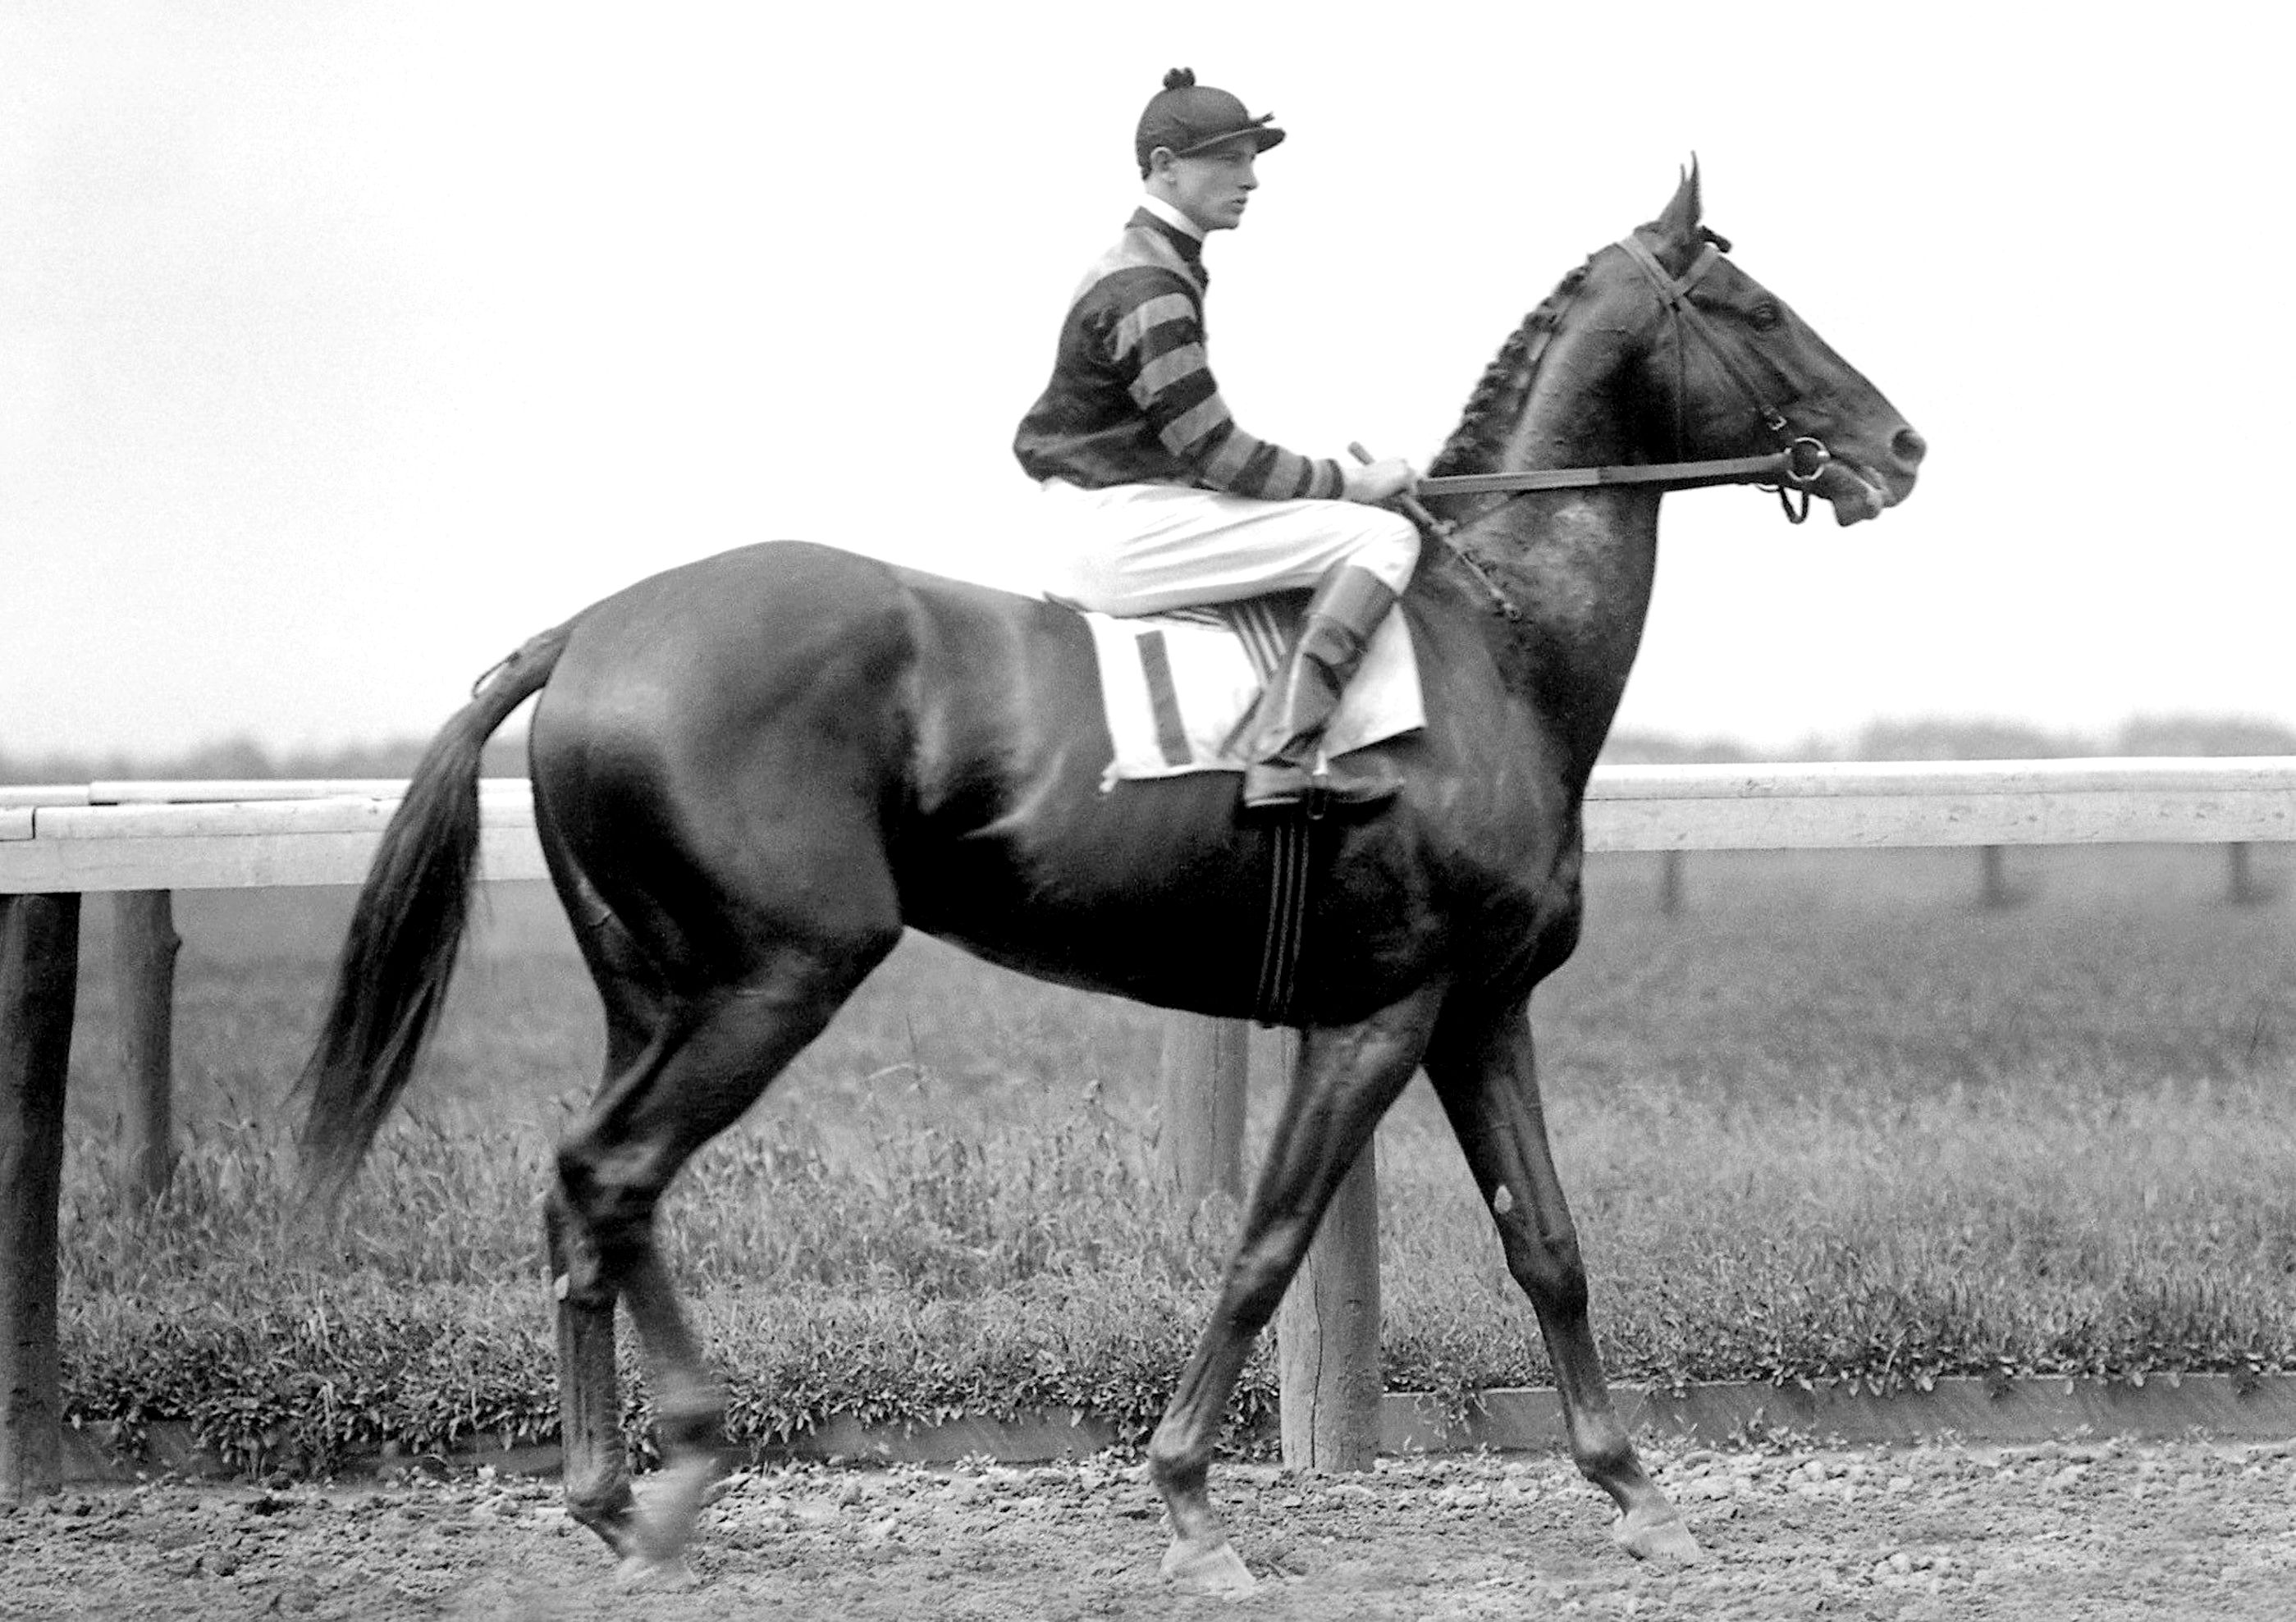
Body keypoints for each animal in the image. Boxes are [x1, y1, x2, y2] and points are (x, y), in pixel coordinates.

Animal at [295, 171, 1928, 1597]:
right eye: (1755, 306)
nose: (1902, 445)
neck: (1494, 648)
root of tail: (585, 631)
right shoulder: (1380, 1015)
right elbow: (1265, 1246)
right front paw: (1193, 1511)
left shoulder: (1479, 1009)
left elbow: (1550, 1248)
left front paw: (1637, 1493)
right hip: (772, 980)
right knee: (610, 1175)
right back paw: (679, 1471)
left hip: (656, 993)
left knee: (583, 1192)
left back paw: (606, 1495)